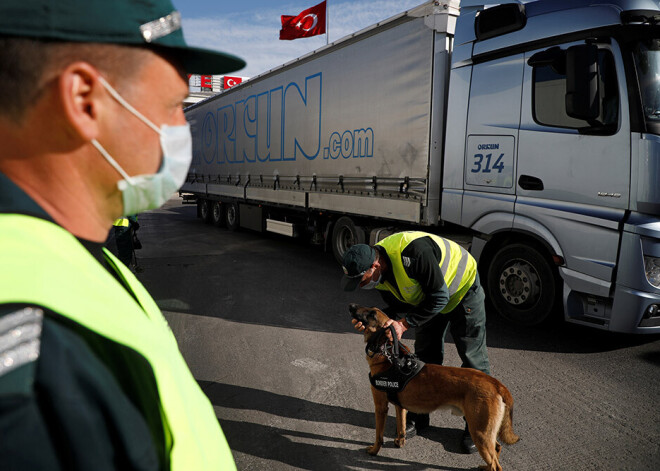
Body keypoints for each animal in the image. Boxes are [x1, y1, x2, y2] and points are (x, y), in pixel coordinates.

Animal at [350, 304, 520, 470]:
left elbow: (379, 435)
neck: (388, 354)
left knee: (495, 465)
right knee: (497, 449)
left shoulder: (380, 407)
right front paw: (400, 441)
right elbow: (401, 426)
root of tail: (496, 384)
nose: (352, 306)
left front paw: (374, 450)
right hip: (486, 432)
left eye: (372, 314)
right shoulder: (400, 406)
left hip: (479, 433)